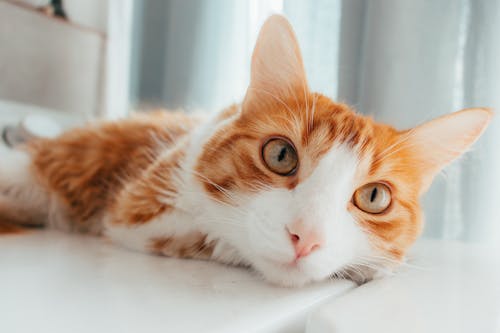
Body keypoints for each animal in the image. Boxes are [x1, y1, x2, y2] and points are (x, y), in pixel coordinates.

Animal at [0, 15, 492, 286]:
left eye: (374, 197)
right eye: (281, 156)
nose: (307, 238)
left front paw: (369, 266)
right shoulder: (135, 207)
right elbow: (209, 234)